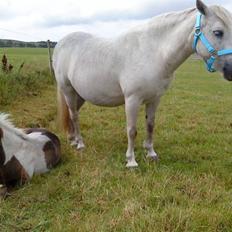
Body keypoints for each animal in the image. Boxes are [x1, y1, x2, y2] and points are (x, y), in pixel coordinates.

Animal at [53, 0, 232, 167]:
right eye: (218, 32)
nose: (230, 69)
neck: (153, 53)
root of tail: (60, 44)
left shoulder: (155, 99)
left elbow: (150, 125)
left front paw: (151, 153)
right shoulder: (132, 99)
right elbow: (132, 130)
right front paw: (131, 161)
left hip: (80, 94)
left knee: (72, 114)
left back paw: (73, 140)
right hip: (68, 90)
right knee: (74, 116)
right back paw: (80, 144)